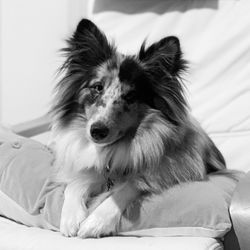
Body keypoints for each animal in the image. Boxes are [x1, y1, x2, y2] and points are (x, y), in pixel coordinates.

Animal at [49, 18, 226, 237]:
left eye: (131, 96)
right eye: (97, 87)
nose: (96, 131)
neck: (113, 151)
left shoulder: (169, 172)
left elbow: (130, 186)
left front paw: (95, 223)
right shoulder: (89, 170)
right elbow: (74, 185)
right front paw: (71, 219)